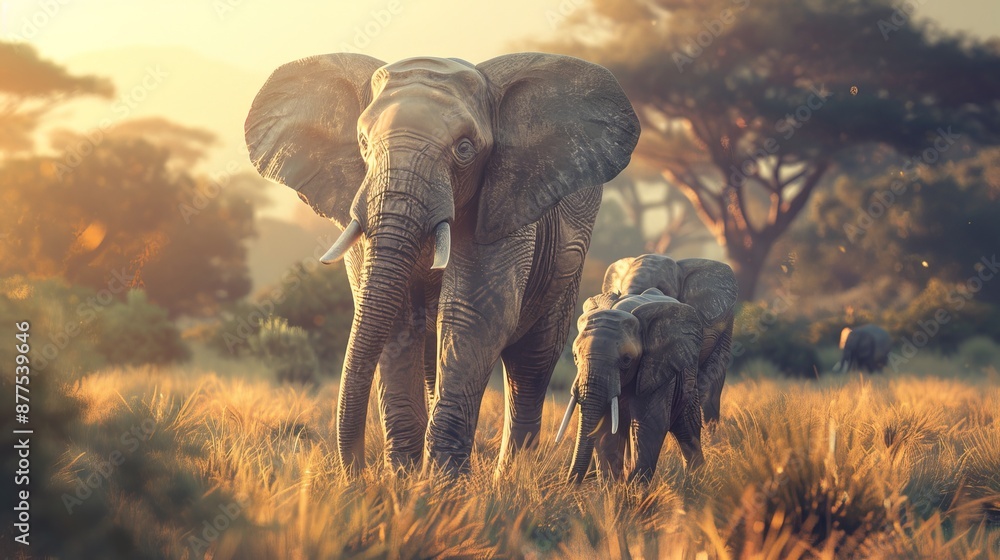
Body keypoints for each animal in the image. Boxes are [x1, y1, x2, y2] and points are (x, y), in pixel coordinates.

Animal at [245, 53, 640, 477]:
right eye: (363, 143)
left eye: (464, 149)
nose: (357, 474)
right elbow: (396, 318)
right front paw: (405, 480)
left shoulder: (504, 205)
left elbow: (473, 314)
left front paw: (443, 484)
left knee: (530, 366)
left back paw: (510, 480)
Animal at [556, 289, 705, 483]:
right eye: (574, 356)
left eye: (626, 360)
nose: (568, 484)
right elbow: (605, 429)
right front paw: (613, 487)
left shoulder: (656, 368)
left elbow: (649, 425)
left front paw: (634, 487)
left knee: (686, 428)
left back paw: (696, 482)